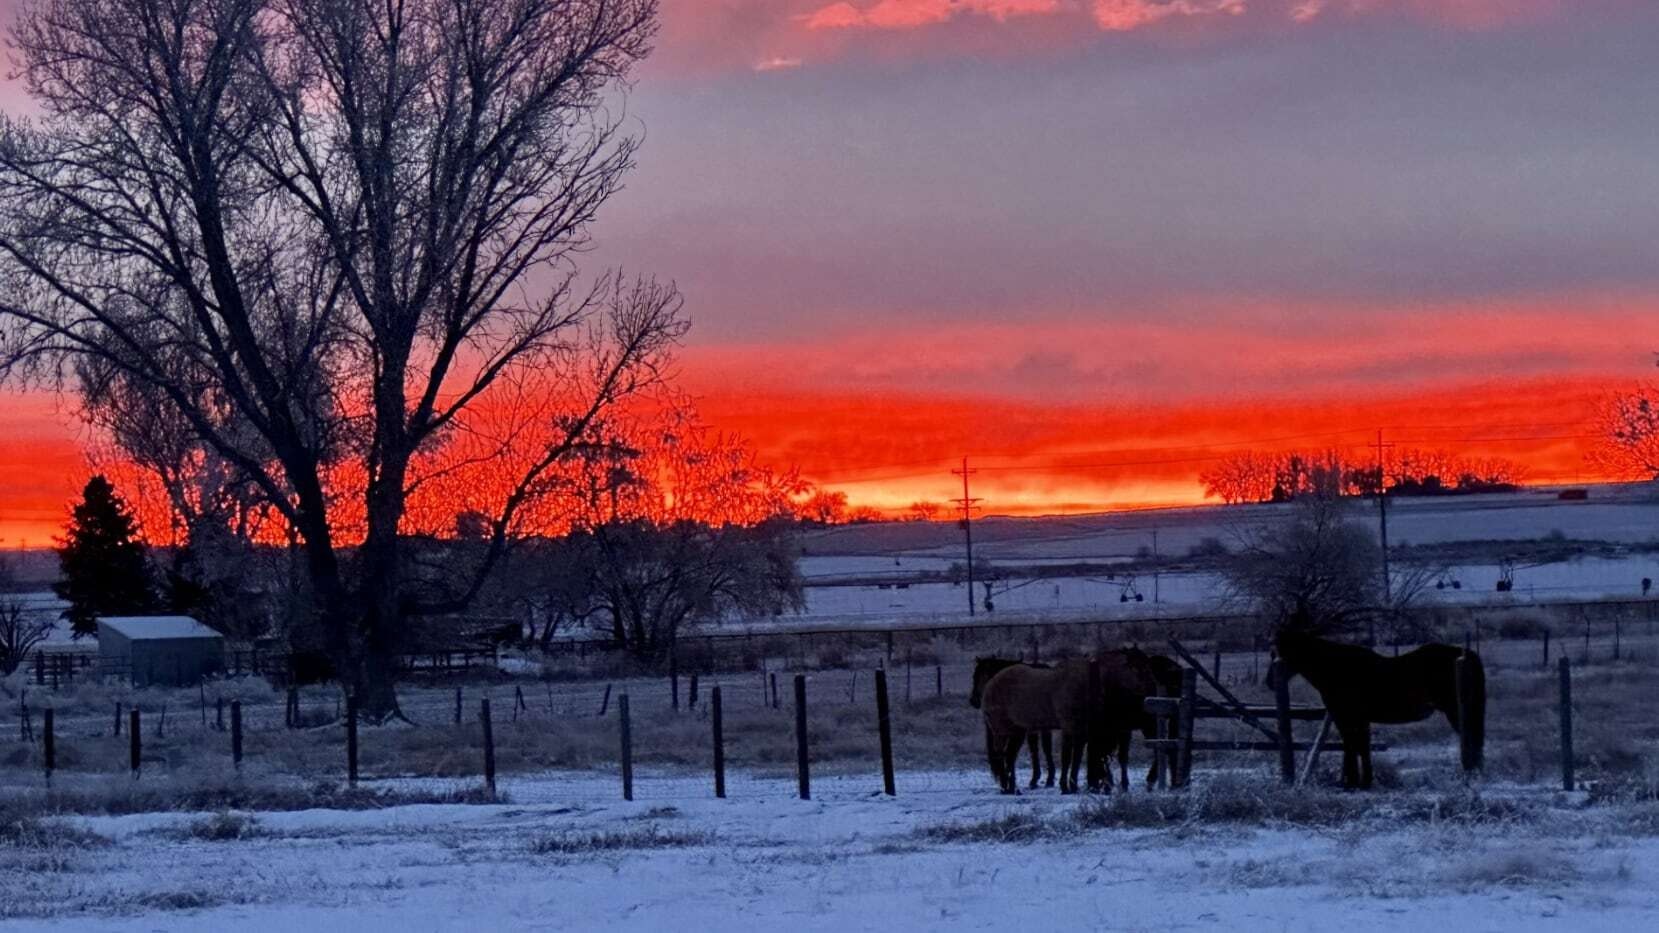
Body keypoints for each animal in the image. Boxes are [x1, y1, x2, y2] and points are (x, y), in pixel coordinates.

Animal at [968, 654, 1055, 783]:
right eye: (974, 676)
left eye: (983, 676)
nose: (973, 701)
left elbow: (1011, 753)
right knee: (1034, 749)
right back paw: (1034, 779)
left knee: (1046, 748)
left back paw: (1049, 779)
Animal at [1267, 624, 1493, 783]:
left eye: (1277, 653)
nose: (1269, 682)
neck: (1338, 668)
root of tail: (1464, 653)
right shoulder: (1358, 719)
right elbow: (1362, 747)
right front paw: (1364, 781)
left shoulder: (1346, 718)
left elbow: (1352, 746)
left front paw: (1351, 783)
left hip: (1457, 711)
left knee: (1470, 738)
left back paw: (1471, 774)